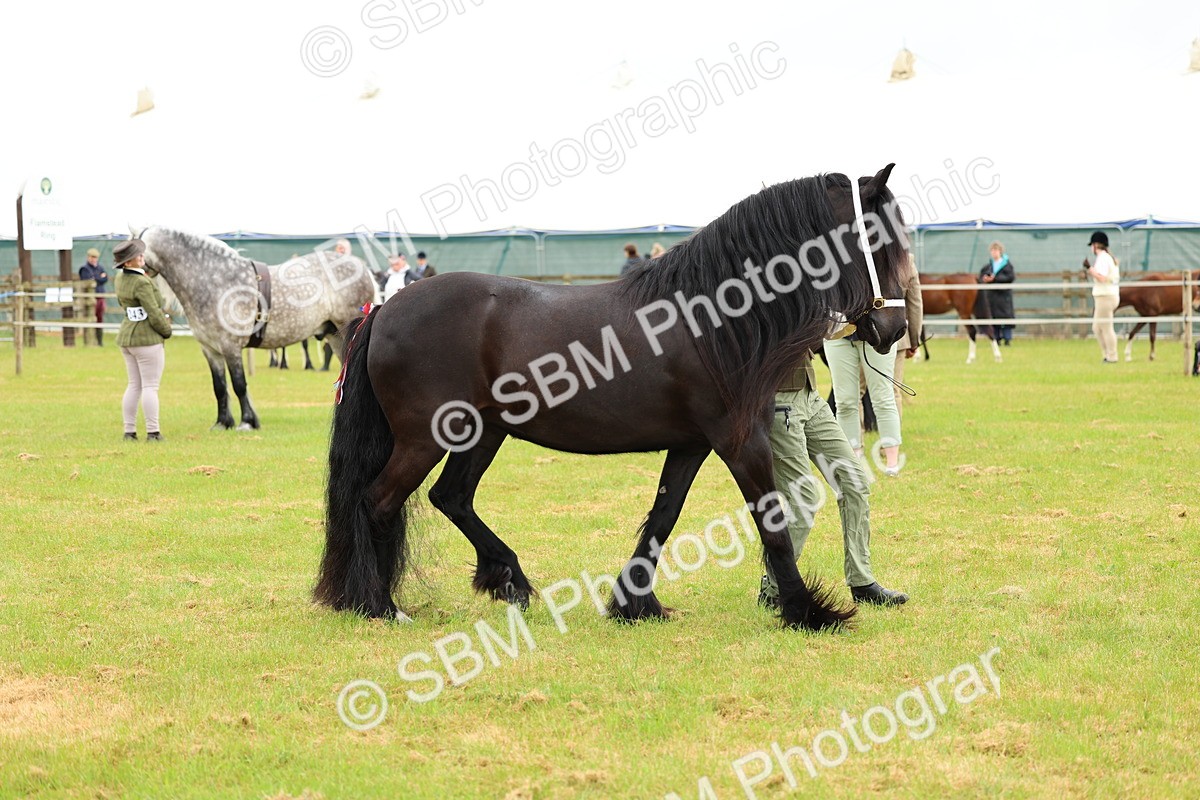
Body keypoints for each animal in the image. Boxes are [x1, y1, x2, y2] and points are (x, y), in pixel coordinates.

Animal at [138, 226, 375, 429]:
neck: (215, 280)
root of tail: (364, 270)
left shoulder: (230, 346)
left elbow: (239, 384)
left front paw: (247, 422)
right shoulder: (211, 350)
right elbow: (219, 387)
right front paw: (222, 422)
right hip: (335, 337)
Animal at [314, 166, 912, 632]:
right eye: (879, 238)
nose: (894, 328)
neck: (711, 316)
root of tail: (385, 308)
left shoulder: (693, 443)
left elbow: (663, 516)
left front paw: (635, 603)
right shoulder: (741, 440)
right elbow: (772, 522)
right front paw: (809, 611)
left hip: (483, 433)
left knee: (451, 498)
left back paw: (510, 581)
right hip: (425, 438)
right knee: (377, 500)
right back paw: (379, 606)